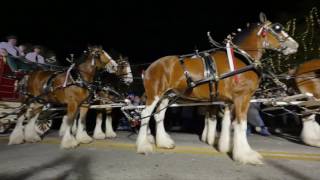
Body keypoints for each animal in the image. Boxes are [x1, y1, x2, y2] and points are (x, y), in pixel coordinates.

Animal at [138, 12, 300, 165]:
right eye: (277, 28)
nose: (296, 45)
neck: (242, 59)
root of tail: (150, 67)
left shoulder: (228, 101)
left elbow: (228, 124)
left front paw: (225, 147)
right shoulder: (242, 97)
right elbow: (241, 124)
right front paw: (246, 155)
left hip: (167, 95)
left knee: (159, 116)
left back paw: (163, 142)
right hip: (154, 94)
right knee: (145, 114)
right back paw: (143, 146)